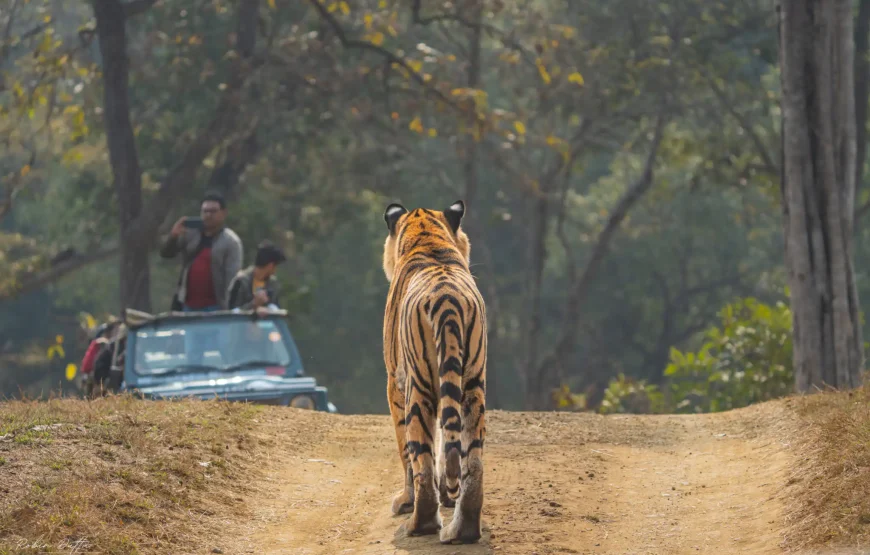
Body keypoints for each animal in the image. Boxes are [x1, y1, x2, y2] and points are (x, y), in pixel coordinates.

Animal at [381, 200, 487, 544]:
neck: (427, 237)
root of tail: (447, 299)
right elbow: (447, 440)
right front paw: (448, 495)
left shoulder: (394, 382)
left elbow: (406, 450)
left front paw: (406, 501)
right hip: (473, 385)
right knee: (472, 459)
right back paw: (462, 529)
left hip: (418, 388)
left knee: (420, 457)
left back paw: (419, 522)